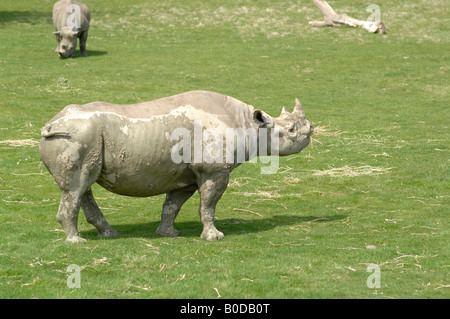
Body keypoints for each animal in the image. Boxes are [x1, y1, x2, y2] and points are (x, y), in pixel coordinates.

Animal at [39, 91, 312, 244]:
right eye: (291, 130)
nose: (311, 132)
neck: (250, 125)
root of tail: (49, 125)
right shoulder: (215, 170)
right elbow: (208, 205)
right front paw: (214, 237)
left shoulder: (186, 175)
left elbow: (173, 204)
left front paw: (168, 233)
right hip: (77, 137)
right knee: (75, 187)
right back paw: (76, 241)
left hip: (79, 138)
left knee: (83, 187)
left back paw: (108, 234)